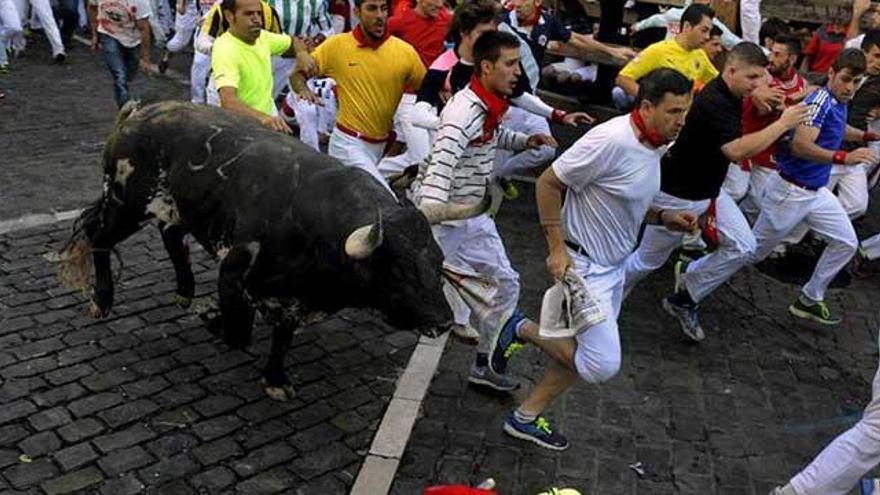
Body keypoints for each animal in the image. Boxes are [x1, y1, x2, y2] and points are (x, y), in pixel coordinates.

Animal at [62, 102, 488, 402]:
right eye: (397, 269)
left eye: (437, 261)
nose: (443, 321)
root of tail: (139, 113)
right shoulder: (236, 267)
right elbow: (239, 333)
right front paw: (212, 316)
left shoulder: (294, 297)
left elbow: (282, 334)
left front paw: (275, 378)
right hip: (126, 205)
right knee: (98, 236)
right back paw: (102, 299)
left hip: (177, 207)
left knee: (170, 236)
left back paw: (184, 291)